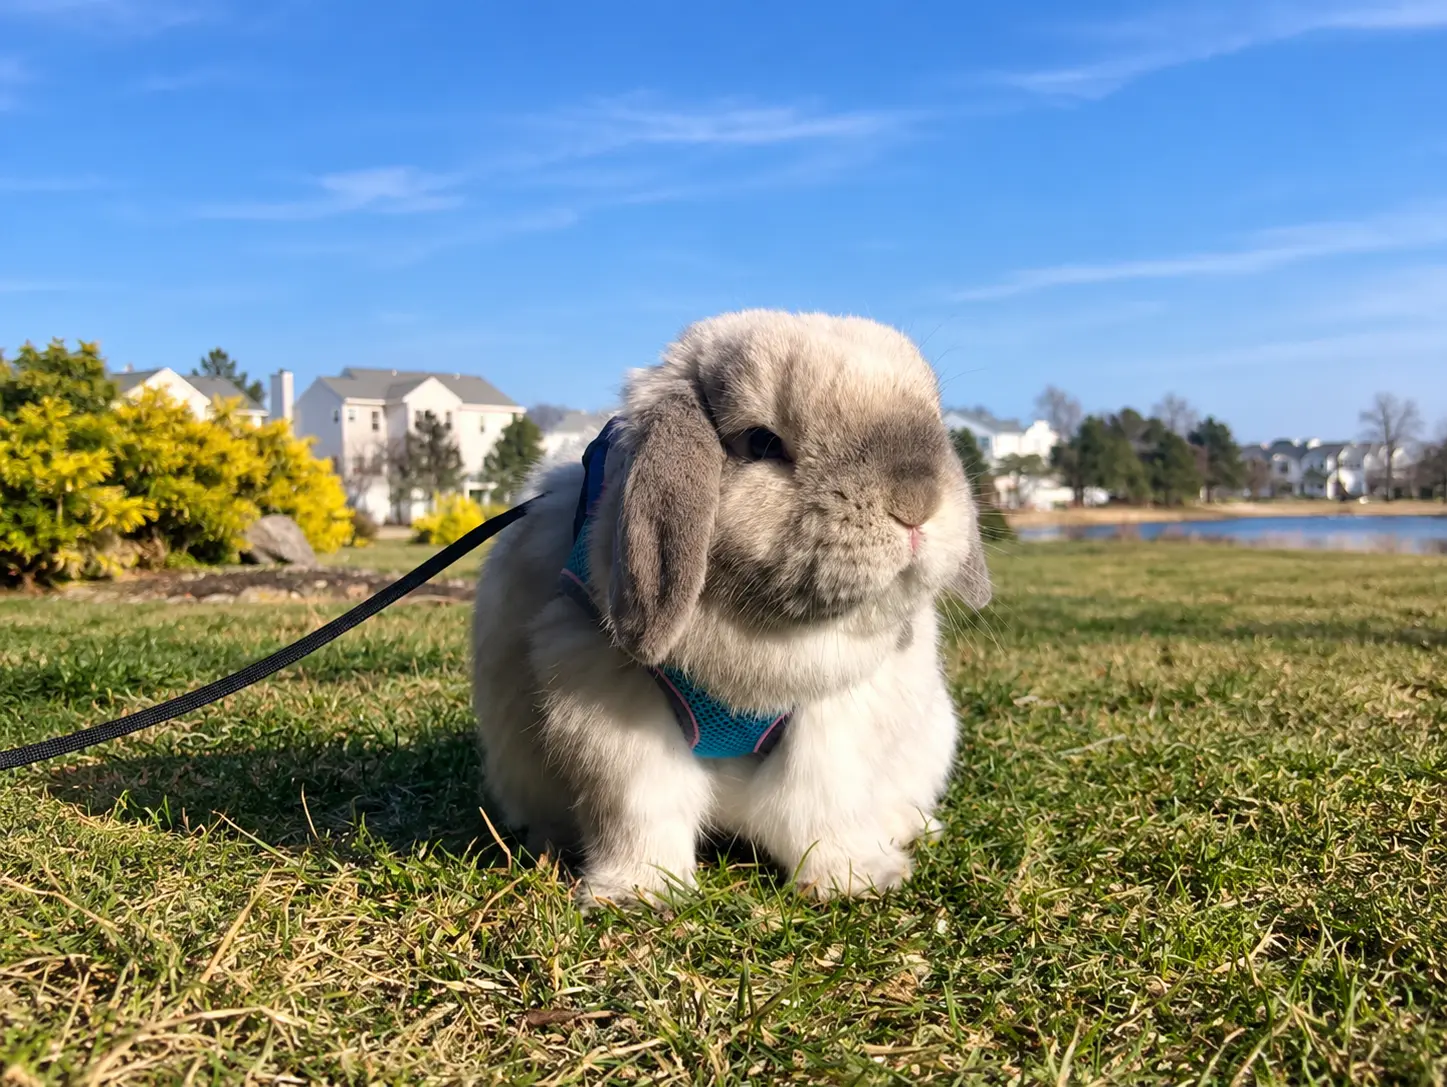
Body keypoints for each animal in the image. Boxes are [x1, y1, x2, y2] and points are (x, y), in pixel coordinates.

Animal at [471, 310, 991, 909]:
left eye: (931, 421)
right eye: (761, 442)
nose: (917, 505)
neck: (764, 633)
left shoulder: (838, 718)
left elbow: (823, 804)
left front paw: (854, 879)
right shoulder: (614, 711)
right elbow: (642, 809)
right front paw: (638, 891)